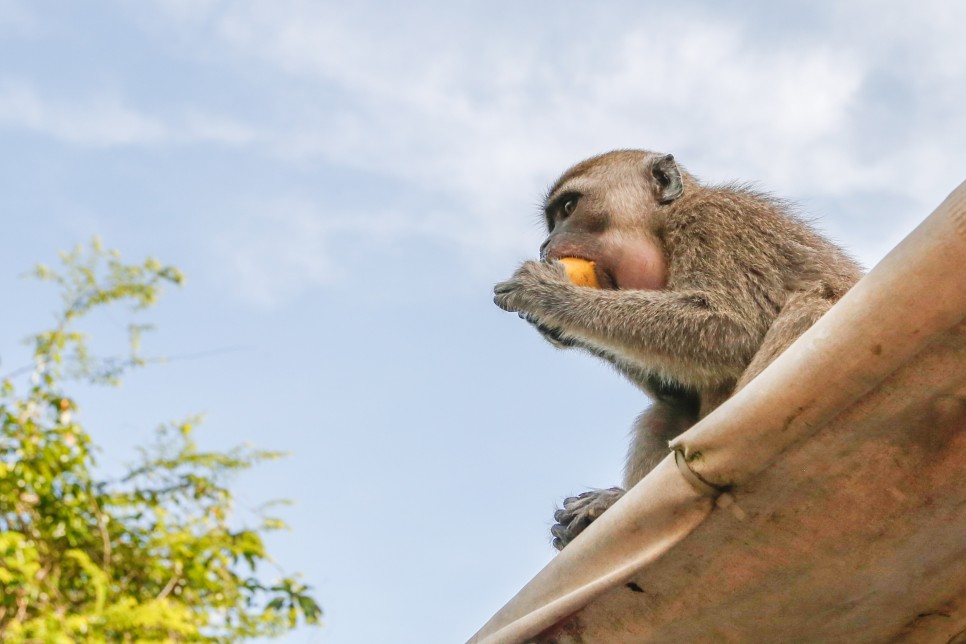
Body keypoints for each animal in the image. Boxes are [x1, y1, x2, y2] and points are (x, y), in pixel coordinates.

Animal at [492, 150, 864, 548]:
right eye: (553, 220)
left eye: (568, 207)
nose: (546, 247)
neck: (665, 226)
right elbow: (675, 388)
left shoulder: (712, 224)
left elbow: (733, 329)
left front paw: (551, 295)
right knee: (668, 409)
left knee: (812, 306)